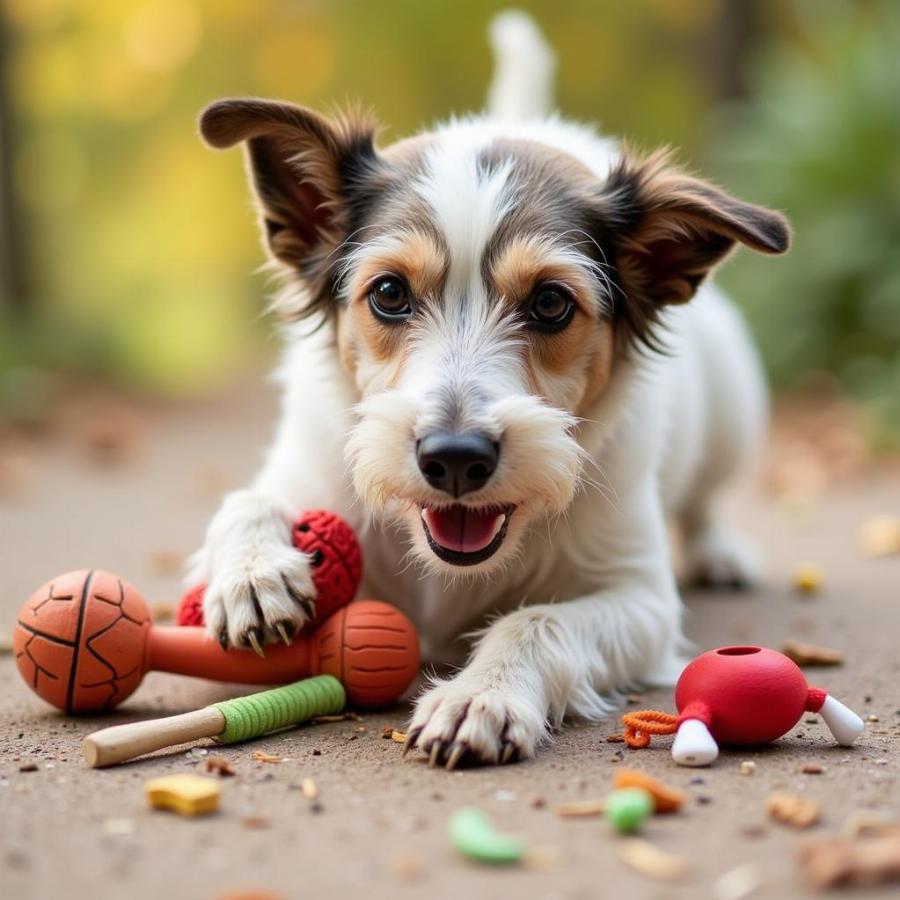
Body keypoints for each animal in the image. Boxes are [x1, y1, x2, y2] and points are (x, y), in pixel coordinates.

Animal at [192, 8, 788, 768]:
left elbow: (536, 622)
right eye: (389, 293)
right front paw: (253, 572)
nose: (454, 459)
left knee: (705, 500)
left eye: (552, 303)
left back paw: (719, 551)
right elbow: (247, 500)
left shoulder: (641, 599)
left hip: (736, 413)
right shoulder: (302, 468)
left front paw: (483, 694)